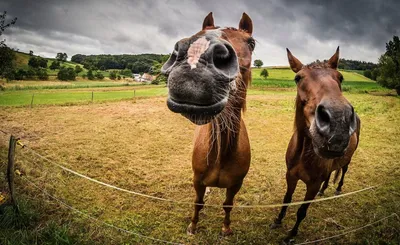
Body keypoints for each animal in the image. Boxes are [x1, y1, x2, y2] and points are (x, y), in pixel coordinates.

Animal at [161, 12, 255, 235]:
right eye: (200, 32)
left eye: (252, 43)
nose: (196, 56)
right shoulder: (197, 180)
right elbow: (198, 202)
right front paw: (193, 226)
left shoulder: (236, 185)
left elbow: (228, 205)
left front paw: (226, 228)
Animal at [272, 47, 360, 243]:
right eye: (298, 78)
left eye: (340, 77)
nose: (338, 120)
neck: (304, 154)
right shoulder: (290, 175)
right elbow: (286, 199)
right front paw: (277, 221)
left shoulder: (312, 185)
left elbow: (301, 211)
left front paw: (290, 235)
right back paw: (324, 190)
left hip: (348, 159)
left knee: (344, 170)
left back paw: (338, 189)